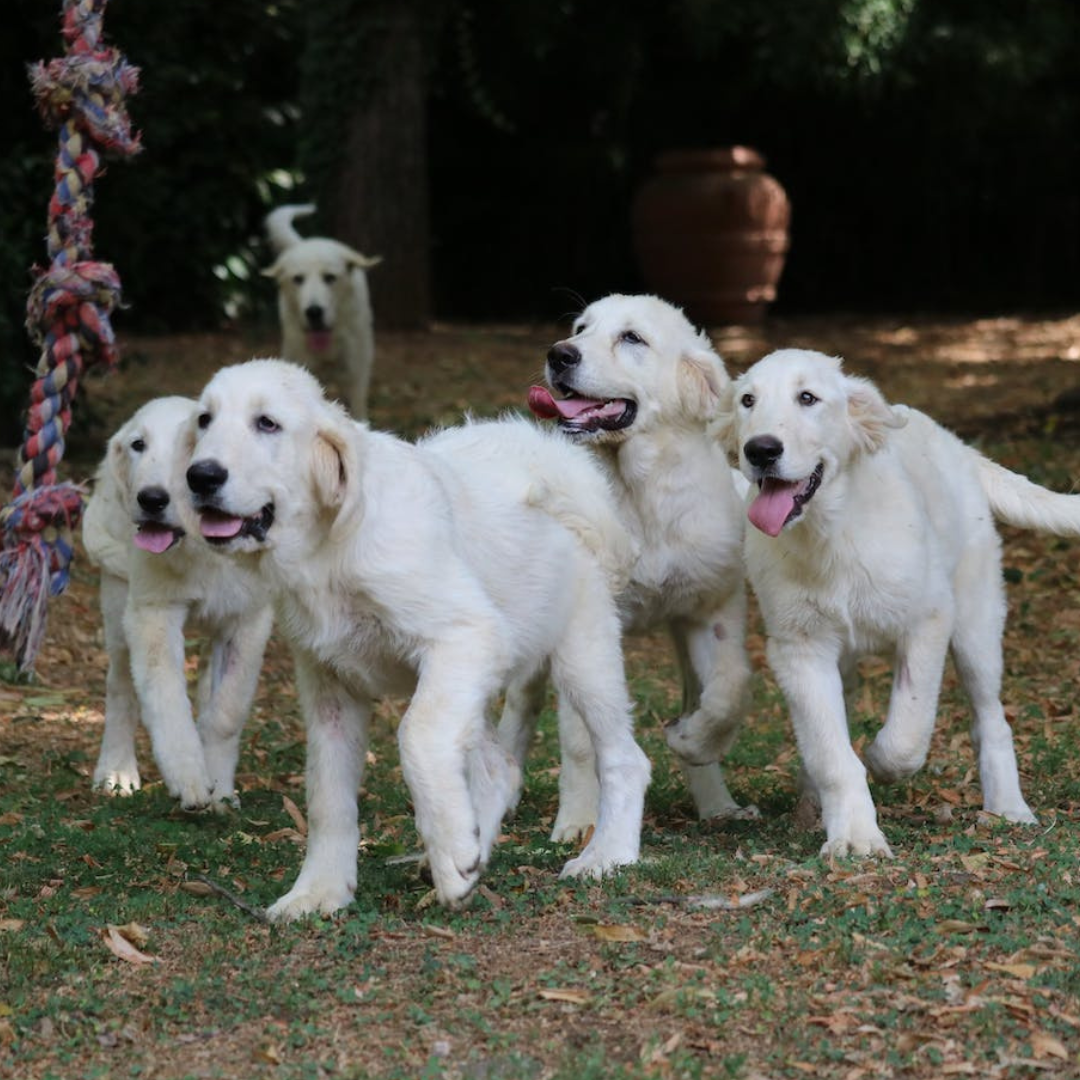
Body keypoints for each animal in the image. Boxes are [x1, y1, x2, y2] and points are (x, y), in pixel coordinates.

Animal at [81, 397, 272, 812]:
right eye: (138, 445)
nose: (151, 499)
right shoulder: (152, 613)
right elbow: (165, 697)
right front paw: (189, 777)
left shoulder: (248, 621)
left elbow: (227, 709)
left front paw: (219, 784)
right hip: (118, 602)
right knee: (121, 687)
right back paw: (116, 770)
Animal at [185, 362, 648, 920]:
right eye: (204, 420)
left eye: (267, 424)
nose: (200, 477)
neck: (329, 549)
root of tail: (556, 464)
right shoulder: (329, 684)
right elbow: (327, 796)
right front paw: (319, 890)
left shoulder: (465, 635)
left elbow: (415, 737)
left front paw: (450, 856)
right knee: (498, 767)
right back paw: (471, 848)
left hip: (581, 658)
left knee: (624, 758)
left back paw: (606, 854)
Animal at [503, 293, 751, 833]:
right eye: (581, 328)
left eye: (632, 338)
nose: (559, 354)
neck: (641, 495)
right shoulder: (587, 622)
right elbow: (578, 740)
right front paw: (578, 818)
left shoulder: (712, 610)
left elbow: (730, 691)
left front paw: (692, 741)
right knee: (518, 707)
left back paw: (716, 803)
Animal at [699, 349, 1080, 855]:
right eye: (747, 400)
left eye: (808, 398)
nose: (760, 450)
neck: (831, 532)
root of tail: (957, 446)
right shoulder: (799, 648)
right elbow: (831, 750)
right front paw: (855, 835)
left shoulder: (929, 620)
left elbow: (907, 732)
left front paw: (881, 762)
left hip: (976, 624)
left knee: (991, 717)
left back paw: (1008, 808)